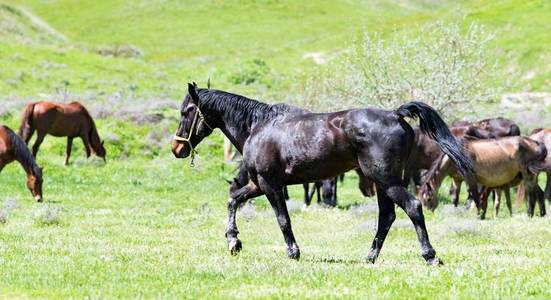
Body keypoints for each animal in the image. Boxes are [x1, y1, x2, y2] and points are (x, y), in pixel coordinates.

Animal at [172, 83, 474, 264]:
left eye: (187, 111)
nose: (177, 148)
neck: (258, 127)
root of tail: (395, 114)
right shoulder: (258, 185)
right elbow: (233, 199)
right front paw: (234, 241)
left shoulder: (270, 185)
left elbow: (283, 220)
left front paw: (293, 253)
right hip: (382, 182)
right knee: (386, 216)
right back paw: (370, 257)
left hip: (386, 180)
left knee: (412, 207)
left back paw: (430, 255)